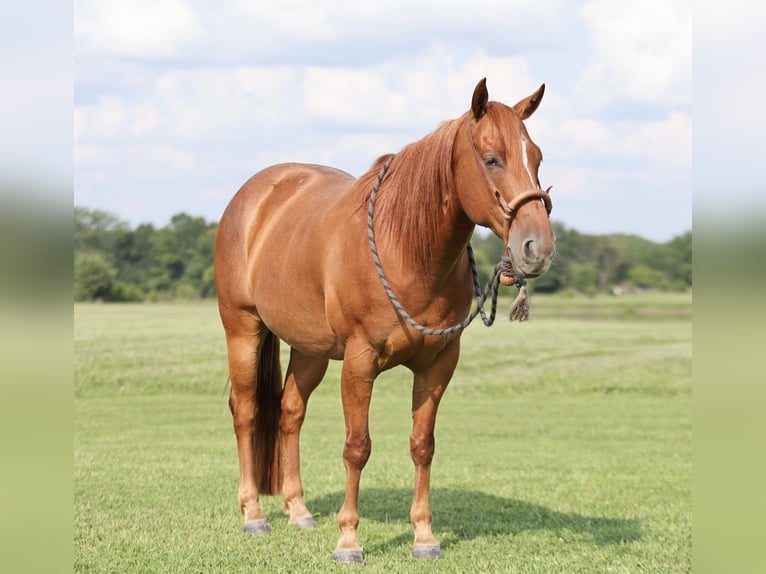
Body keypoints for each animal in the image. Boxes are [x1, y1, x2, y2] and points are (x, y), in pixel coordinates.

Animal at [216, 79, 560, 564]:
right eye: (493, 159)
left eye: (538, 157)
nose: (538, 248)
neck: (408, 251)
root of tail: (253, 196)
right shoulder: (360, 362)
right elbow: (357, 448)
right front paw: (348, 541)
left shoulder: (438, 365)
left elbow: (422, 446)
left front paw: (424, 537)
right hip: (242, 329)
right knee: (246, 411)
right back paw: (253, 515)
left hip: (309, 349)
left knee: (290, 412)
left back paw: (298, 510)